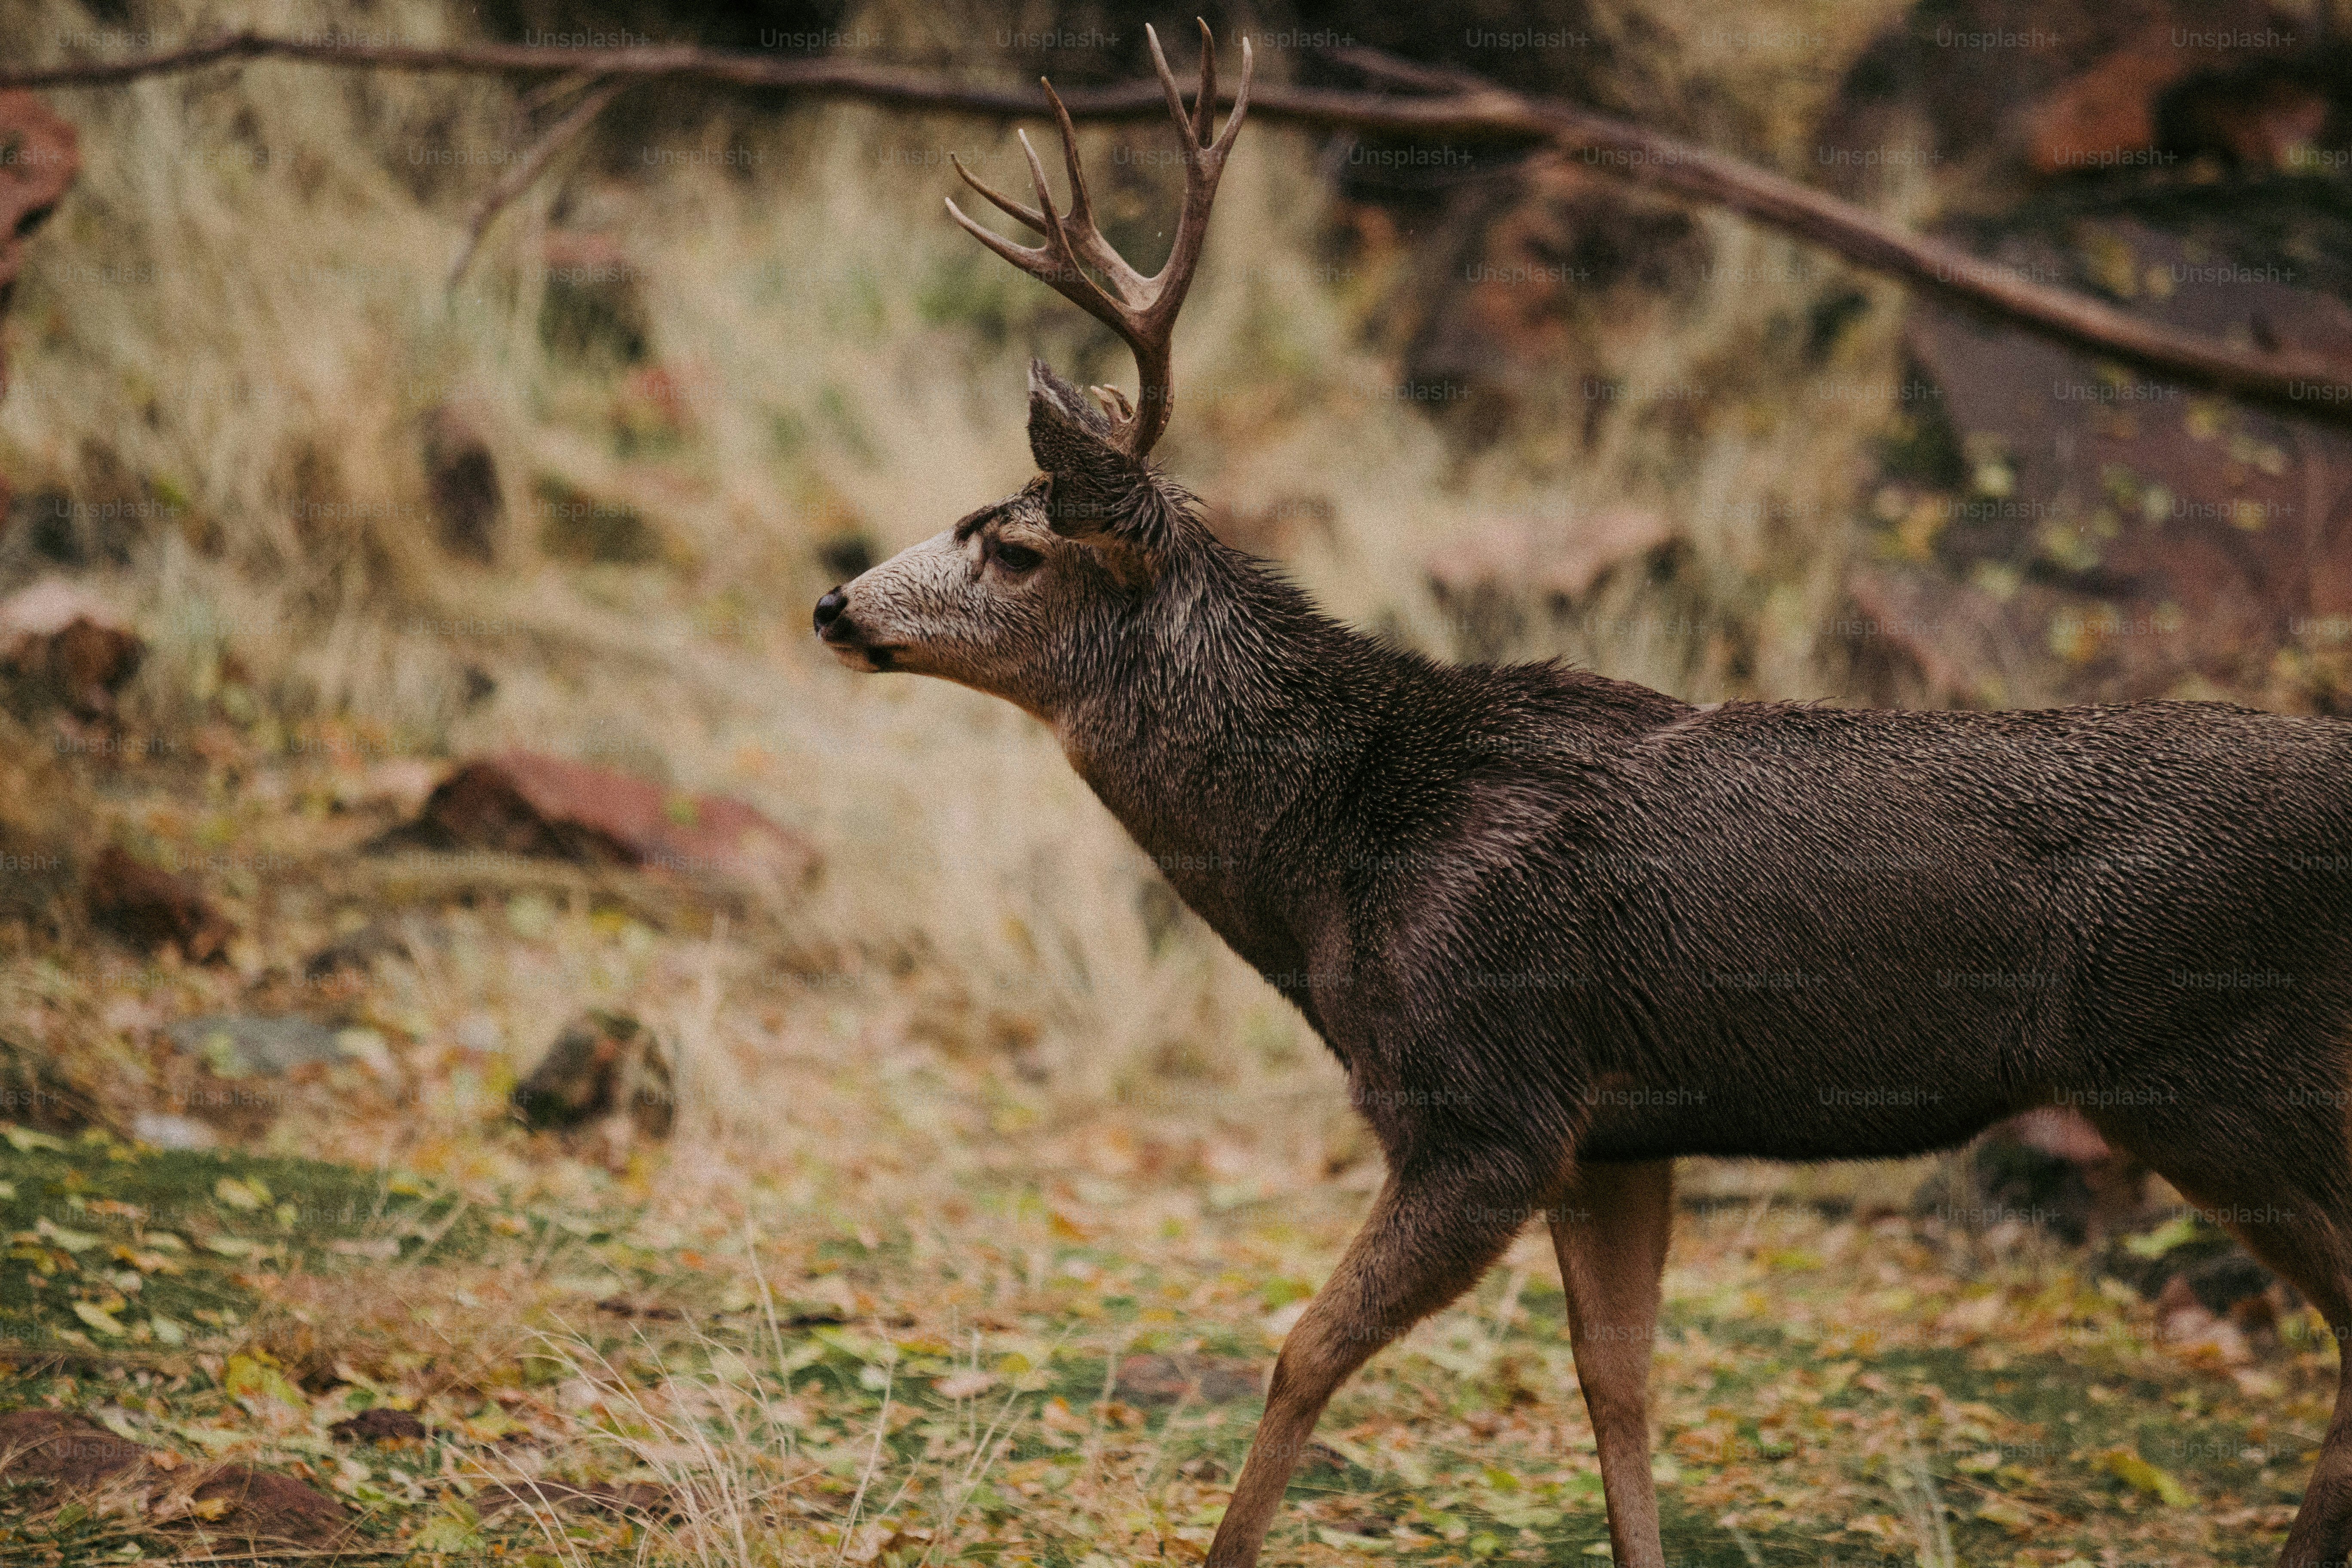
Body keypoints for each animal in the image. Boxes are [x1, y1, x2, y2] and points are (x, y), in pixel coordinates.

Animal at [812, 23, 2352, 1568]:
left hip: (2226, 1072)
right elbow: (1617, 1383)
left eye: (1014, 546)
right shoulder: (1622, 1128)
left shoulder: (1490, 1100)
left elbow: (1303, 1350)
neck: (1336, 849)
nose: (832, 604)